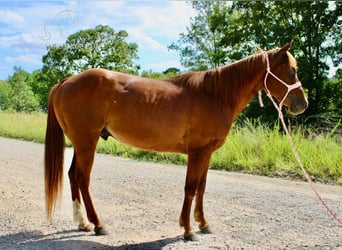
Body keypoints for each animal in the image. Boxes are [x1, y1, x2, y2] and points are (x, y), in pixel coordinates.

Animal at [44, 41, 308, 240]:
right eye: (291, 70)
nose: (302, 104)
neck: (214, 95)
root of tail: (66, 81)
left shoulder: (207, 152)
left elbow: (201, 187)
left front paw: (203, 223)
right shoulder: (197, 151)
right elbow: (190, 187)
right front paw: (188, 229)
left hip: (80, 143)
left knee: (72, 175)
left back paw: (82, 223)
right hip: (87, 142)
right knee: (82, 178)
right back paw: (98, 224)